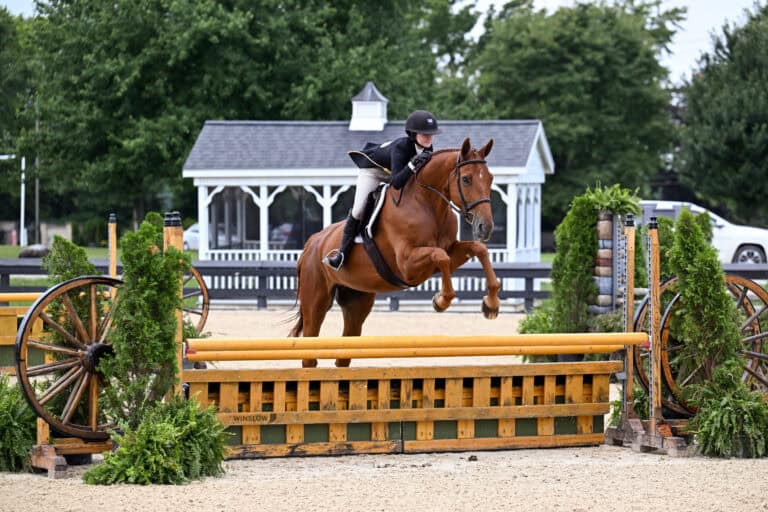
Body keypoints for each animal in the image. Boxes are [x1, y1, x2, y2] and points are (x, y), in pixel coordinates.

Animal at [289, 137, 501, 367]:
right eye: (466, 179)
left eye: (490, 178)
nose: (485, 227)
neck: (427, 203)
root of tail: (312, 242)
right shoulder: (407, 265)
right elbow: (440, 256)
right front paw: (441, 300)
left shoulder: (448, 252)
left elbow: (478, 249)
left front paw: (491, 304)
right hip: (315, 302)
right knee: (309, 348)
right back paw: (336, 259)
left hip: (357, 300)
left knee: (344, 352)